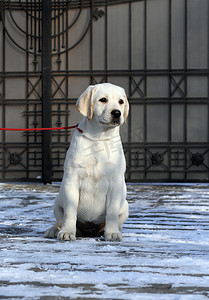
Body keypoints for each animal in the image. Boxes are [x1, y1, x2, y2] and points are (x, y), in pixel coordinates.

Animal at [45, 82, 128, 241]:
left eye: (121, 102)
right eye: (103, 100)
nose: (117, 113)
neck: (98, 138)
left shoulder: (115, 183)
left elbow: (112, 213)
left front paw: (112, 233)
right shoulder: (72, 180)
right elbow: (70, 212)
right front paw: (67, 232)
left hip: (125, 206)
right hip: (57, 203)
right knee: (59, 220)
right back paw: (53, 230)